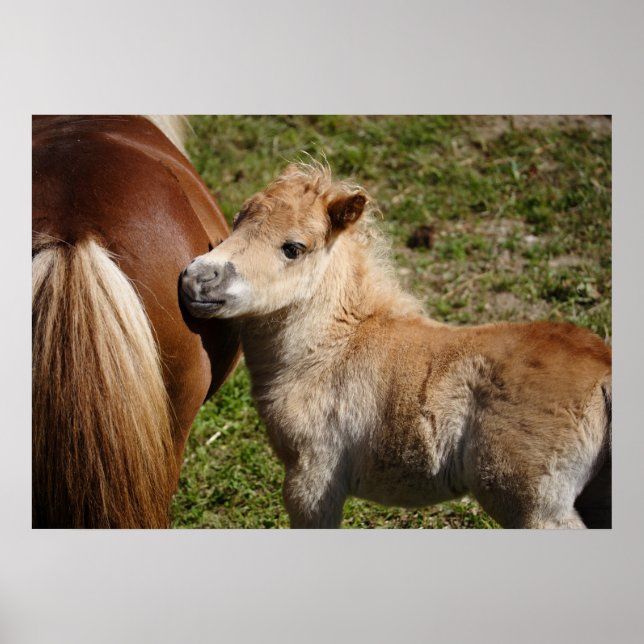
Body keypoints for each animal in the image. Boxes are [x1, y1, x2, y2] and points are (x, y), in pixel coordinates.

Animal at [179, 162, 612, 529]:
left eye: (293, 248)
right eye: (237, 221)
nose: (196, 278)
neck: (330, 352)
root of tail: (605, 374)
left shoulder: (312, 477)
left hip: (535, 506)